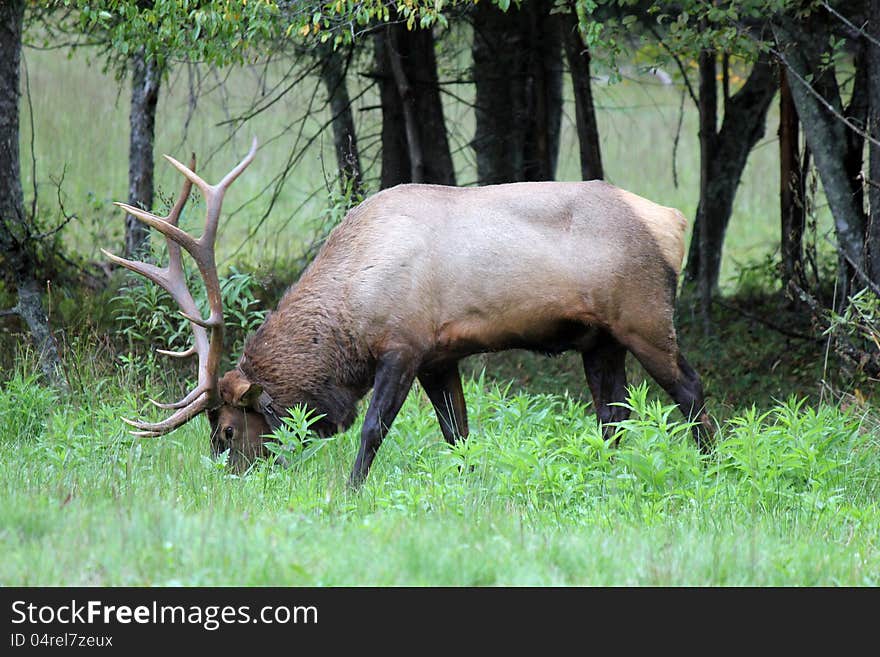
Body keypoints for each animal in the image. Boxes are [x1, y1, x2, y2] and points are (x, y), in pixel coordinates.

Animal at [106, 140, 712, 486]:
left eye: (228, 431)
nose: (229, 480)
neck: (349, 317)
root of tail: (673, 222)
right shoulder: (440, 357)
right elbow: (458, 434)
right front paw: (471, 487)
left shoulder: (404, 346)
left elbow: (372, 429)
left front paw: (348, 493)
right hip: (598, 340)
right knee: (614, 416)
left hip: (644, 317)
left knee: (691, 391)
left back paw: (715, 470)